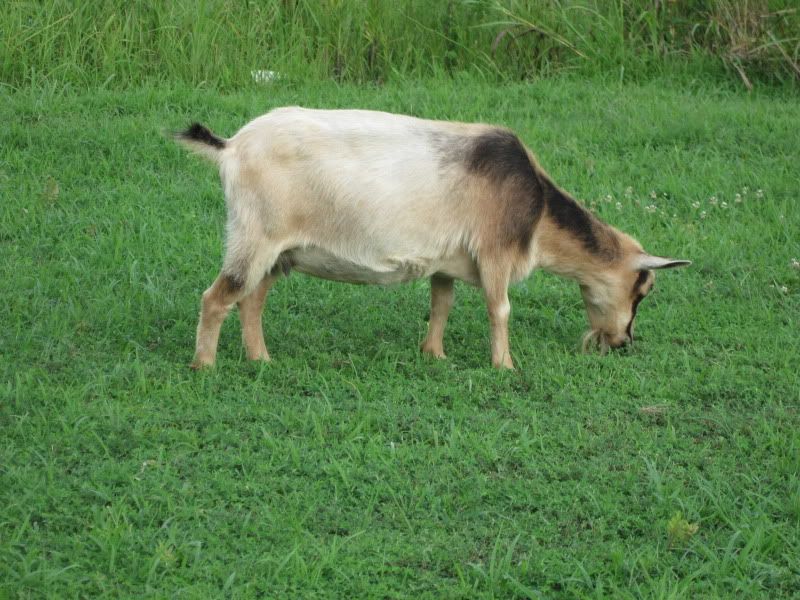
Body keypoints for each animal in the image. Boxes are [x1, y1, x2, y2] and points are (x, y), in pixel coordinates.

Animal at [175, 108, 690, 369]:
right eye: (643, 290)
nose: (622, 342)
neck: (538, 210)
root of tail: (231, 147)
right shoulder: (495, 252)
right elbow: (500, 308)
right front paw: (504, 365)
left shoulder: (448, 259)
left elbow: (442, 302)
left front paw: (434, 355)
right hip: (255, 236)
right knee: (217, 297)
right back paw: (206, 366)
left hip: (279, 251)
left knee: (252, 298)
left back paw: (261, 359)